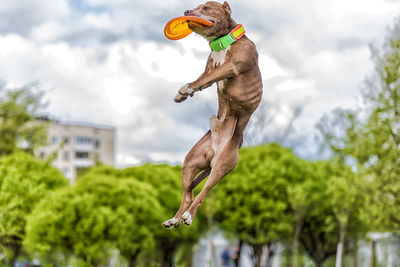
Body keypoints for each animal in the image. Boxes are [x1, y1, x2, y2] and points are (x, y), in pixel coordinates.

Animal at [162, 1, 262, 228]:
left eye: (206, 8)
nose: (187, 11)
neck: (222, 43)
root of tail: (215, 149)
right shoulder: (210, 67)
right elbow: (204, 79)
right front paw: (182, 94)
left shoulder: (231, 66)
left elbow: (206, 78)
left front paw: (186, 89)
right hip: (190, 162)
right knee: (188, 194)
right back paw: (175, 218)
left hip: (221, 166)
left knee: (203, 193)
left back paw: (188, 216)